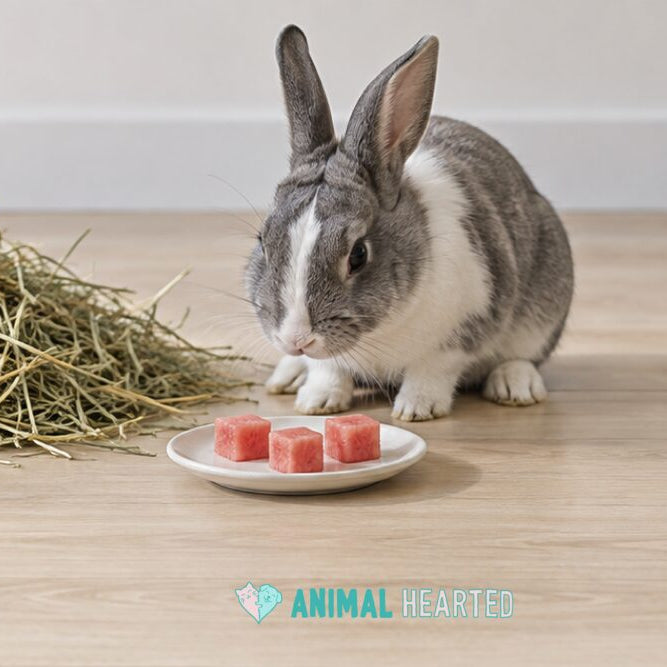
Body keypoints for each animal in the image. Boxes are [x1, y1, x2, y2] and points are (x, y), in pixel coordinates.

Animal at [245, 25, 574, 421]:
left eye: (358, 255)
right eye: (264, 242)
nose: (297, 339)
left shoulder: (462, 329)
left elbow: (432, 370)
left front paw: (417, 409)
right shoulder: (331, 360)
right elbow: (329, 369)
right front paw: (317, 402)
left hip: (544, 305)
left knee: (523, 356)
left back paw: (514, 386)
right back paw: (289, 375)